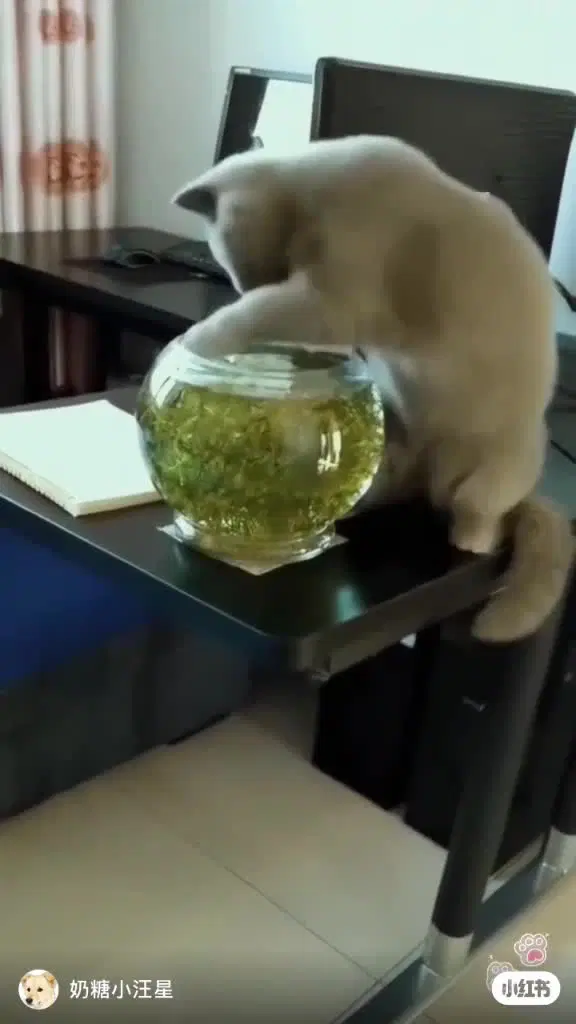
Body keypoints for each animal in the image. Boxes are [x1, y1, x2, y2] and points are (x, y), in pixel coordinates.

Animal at [171, 134, 573, 643]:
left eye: (235, 270)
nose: (243, 285)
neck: (306, 205)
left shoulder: (336, 298)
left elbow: (260, 314)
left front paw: (199, 340)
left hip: (498, 465)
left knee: (480, 513)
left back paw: (468, 538)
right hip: (393, 442)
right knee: (391, 490)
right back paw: (352, 508)